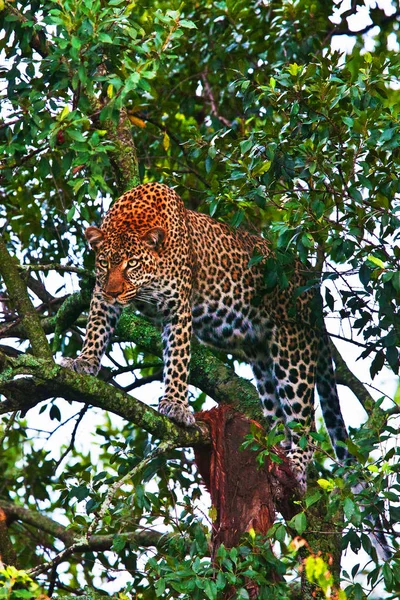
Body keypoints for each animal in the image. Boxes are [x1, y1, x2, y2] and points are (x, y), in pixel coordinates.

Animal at [63, 183, 350, 492]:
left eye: (133, 264)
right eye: (104, 263)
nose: (114, 292)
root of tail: (310, 282)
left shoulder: (178, 308)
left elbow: (177, 359)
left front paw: (175, 405)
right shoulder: (100, 294)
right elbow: (96, 328)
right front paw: (85, 361)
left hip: (293, 350)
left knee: (306, 421)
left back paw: (296, 464)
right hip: (264, 360)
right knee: (278, 413)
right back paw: (277, 454)